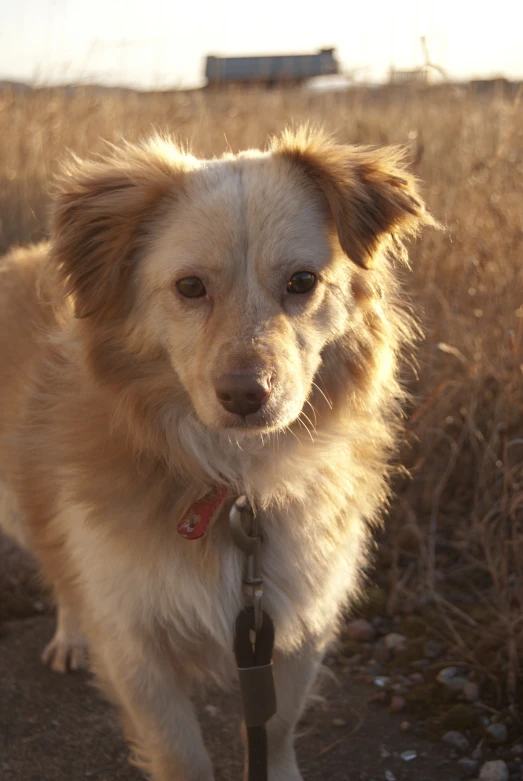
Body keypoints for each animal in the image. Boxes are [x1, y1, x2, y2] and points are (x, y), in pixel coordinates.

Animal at [0, 129, 434, 780]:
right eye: (189, 287)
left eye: (302, 282)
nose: (247, 396)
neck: (235, 479)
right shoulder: (132, 642)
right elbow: (180, 752)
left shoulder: (295, 621)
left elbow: (275, 730)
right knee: (60, 571)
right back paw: (70, 636)